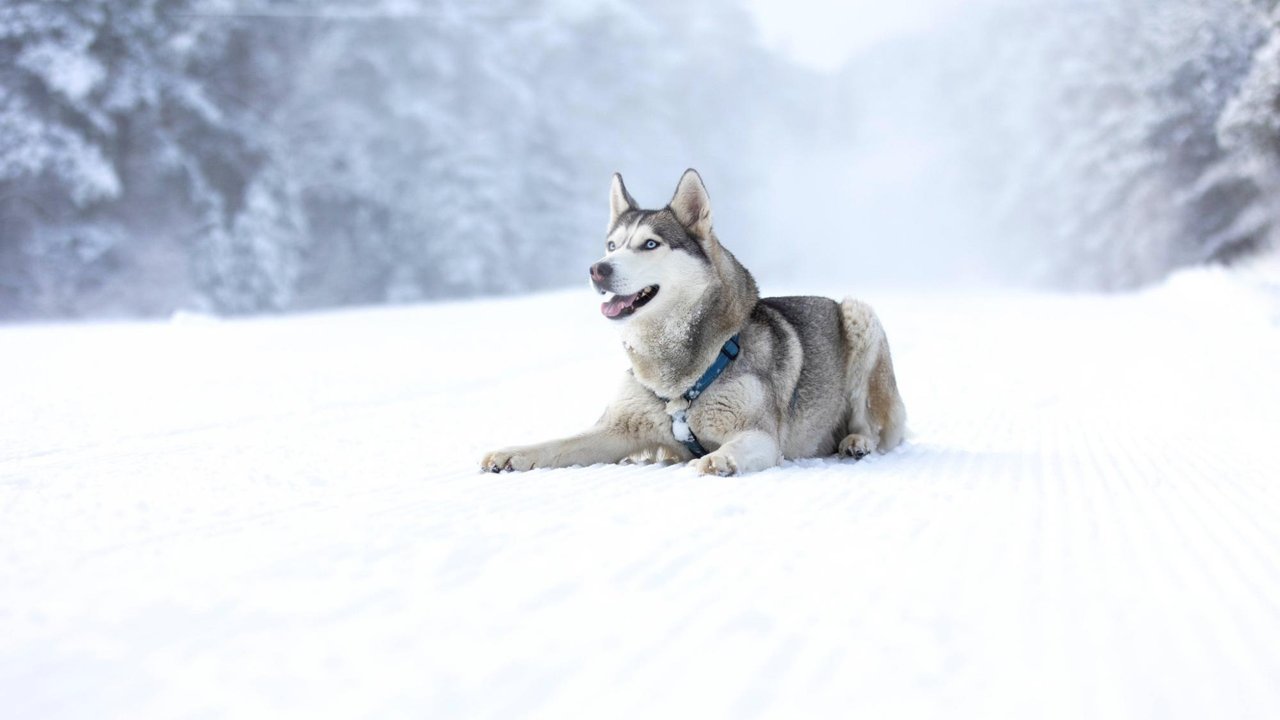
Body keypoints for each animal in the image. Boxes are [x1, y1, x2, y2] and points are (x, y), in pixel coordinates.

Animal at [481, 166, 911, 471]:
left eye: (650, 244)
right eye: (611, 245)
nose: (597, 269)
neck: (676, 375)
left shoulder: (758, 433)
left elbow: (739, 445)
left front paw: (720, 458)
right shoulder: (618, 428)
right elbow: (557, 444)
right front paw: (512, 453)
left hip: (861, 317)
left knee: (872, 425)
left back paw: (857, 442)